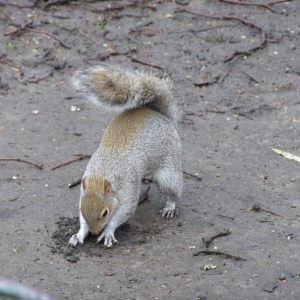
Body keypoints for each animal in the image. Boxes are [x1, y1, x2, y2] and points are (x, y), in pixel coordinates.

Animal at [68, 64, 183, 247]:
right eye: (81, 208)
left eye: (105, 213)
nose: (94, 232)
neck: (102, 173)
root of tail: (160, 115)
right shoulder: (84, 190)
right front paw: (80, 234)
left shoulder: (128, 192)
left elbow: (122, 214)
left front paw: (107, 233)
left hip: (168, 168)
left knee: (172, 189)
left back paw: (170, 207)